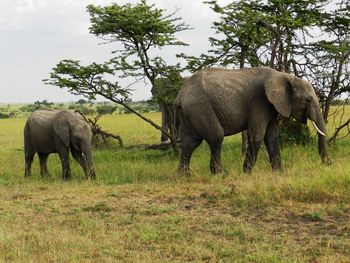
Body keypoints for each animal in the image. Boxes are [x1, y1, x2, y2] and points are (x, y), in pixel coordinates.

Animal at [175, 68, 330, 174]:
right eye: (308, 100)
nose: (327, 164)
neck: (284, 76)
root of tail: (180, 94)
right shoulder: (260, 102)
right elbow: (257, 135)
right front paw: (246, 173)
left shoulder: (271, 106)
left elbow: (272, 137)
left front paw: (278, 173)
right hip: (201, 108)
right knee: (216, 137)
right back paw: (219, 174)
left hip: (191, 112)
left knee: (189, 143)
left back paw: (184, 176)